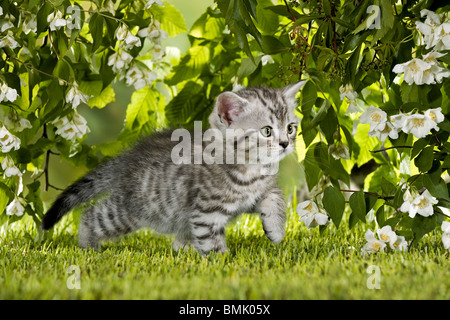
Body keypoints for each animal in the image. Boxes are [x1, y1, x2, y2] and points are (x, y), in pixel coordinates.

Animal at [40, 80, 304, 255]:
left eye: (290, 127)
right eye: (267, 131)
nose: (285, 143)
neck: (252, 169)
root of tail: (126, 158)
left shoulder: (252, 196)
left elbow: (275, 196)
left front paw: (275, 228)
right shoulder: (206, 213)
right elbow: (212, 243)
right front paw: (222, 265)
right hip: (132, 210)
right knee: (92, 214)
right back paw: (88, 246)